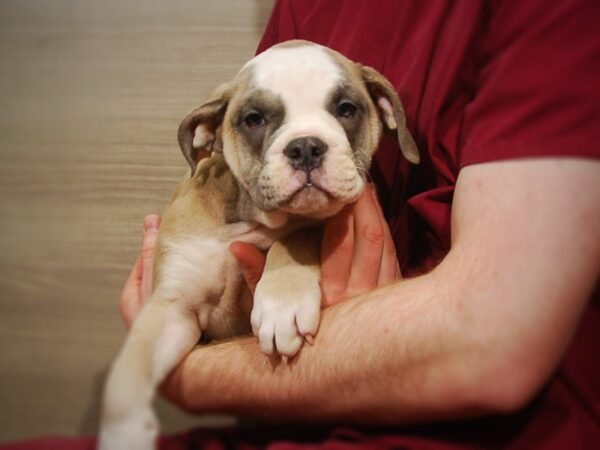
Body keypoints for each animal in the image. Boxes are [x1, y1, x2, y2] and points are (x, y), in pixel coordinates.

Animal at [98, 39, 418, 450]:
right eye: (254, 119)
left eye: (347, 109)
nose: (306, 147)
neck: (250, 216)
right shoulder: (171, 307)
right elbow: (126, 378)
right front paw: (123, 434)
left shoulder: (325, 216)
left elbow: (299, 235)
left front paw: (282, 304)